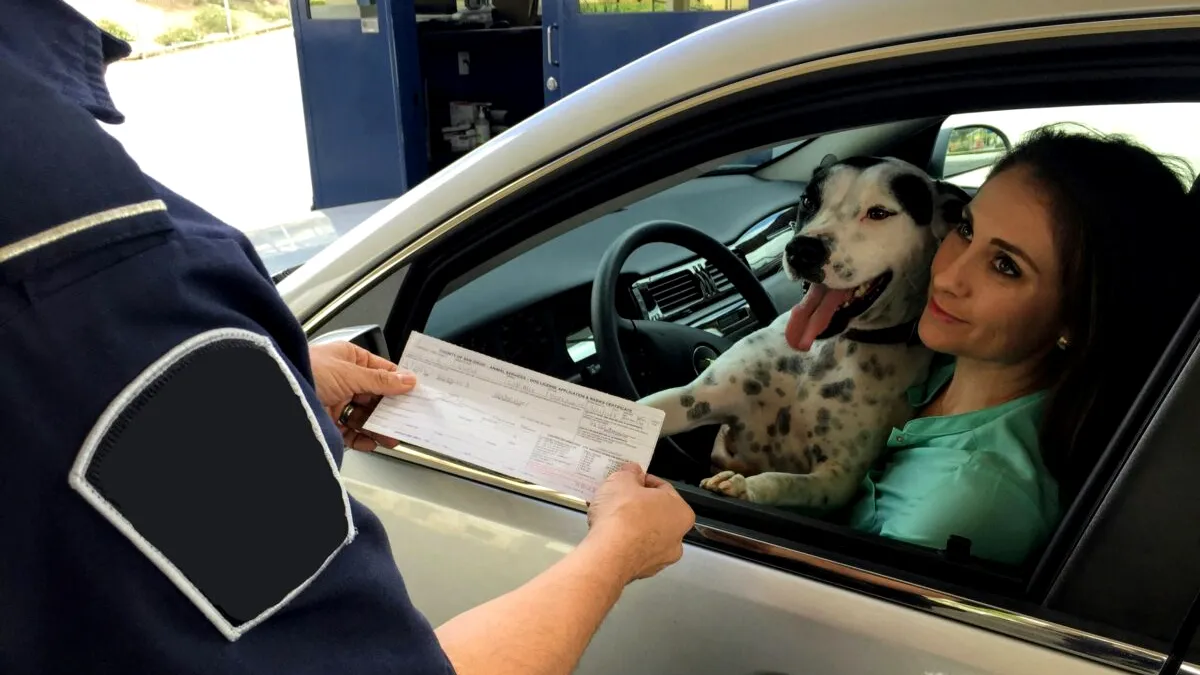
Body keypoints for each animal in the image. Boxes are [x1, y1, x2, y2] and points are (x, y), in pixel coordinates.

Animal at [638, 153, 964, 509]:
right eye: (808, 201)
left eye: (879, 213)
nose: (802, 250)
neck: (826, 350)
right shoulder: (695, 398)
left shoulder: (838, 478)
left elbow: (783, 481)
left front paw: (744, 486)